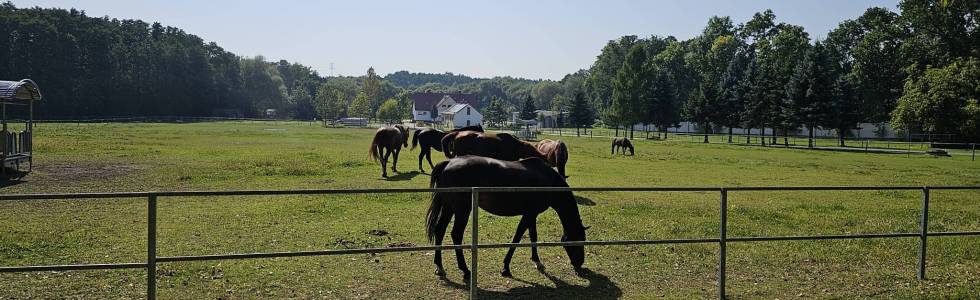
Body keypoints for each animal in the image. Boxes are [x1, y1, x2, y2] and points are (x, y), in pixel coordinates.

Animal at [424, 156, 584, 280]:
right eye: (578, 242)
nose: (580, 263)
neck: (548, 180)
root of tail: (448, 163)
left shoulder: (532, 214)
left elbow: (533, 236)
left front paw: (537, 261)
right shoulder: (529, 215)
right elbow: (518, 237)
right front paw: (506, 268)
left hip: (449, 208)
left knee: (440, 230)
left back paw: (439, 267)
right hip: (462, 210)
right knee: (456, 234)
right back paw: (465, 270)